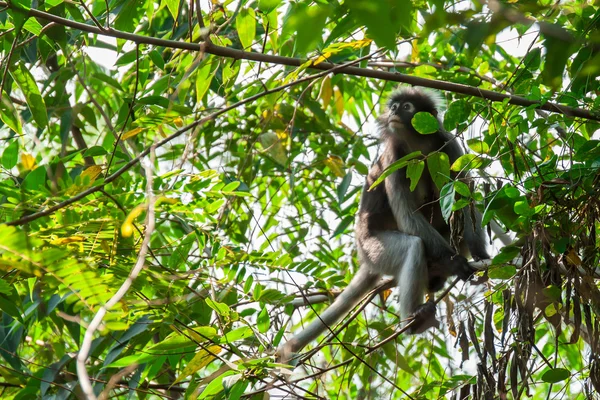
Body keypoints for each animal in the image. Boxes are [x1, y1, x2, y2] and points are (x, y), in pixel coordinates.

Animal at [278, 86, 492, 362]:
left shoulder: (448, 144)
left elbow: (464, 203)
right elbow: (407, 215)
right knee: (414, 245)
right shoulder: (394, 158)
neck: (418, 144)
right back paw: (414, 321)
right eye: (394, 106)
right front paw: (455, 263)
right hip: (375, 251)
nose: (393, 112)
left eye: (407, 107)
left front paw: (480, 256)